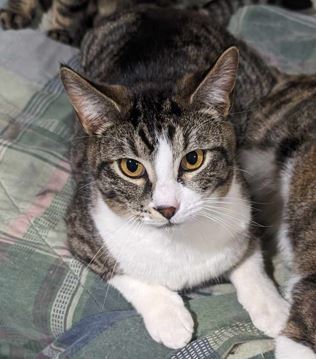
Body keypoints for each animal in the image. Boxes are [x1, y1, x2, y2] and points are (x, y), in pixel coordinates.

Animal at [59, 4, 288, 350]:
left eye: (193, 159)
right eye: (131, 167)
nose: (167, 208)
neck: (176, 243)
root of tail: (160, 8)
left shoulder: (246, 203)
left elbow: (249, 256)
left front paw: (271, 306)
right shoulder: (81, 227)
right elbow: (120, 271)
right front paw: (167, 316)